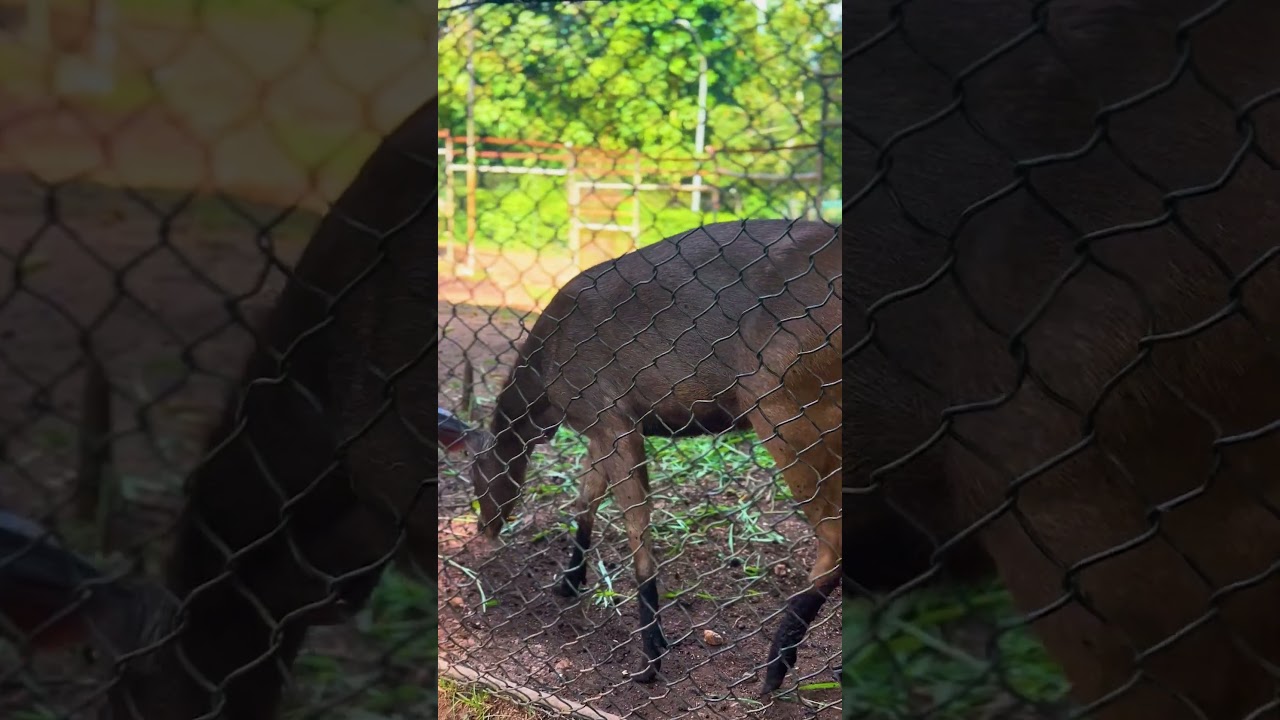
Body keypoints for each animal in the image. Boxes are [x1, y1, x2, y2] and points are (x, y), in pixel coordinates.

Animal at [467, 218, 842, 696]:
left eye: (478, 475)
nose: (485, 528)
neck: (546, 389)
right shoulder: (598, 425)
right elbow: (586, 498)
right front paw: (569, 581)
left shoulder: (612, 414)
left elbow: (635, 524)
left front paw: (651, 655)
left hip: (784, 400)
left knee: (834, 535)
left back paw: (776, 666)